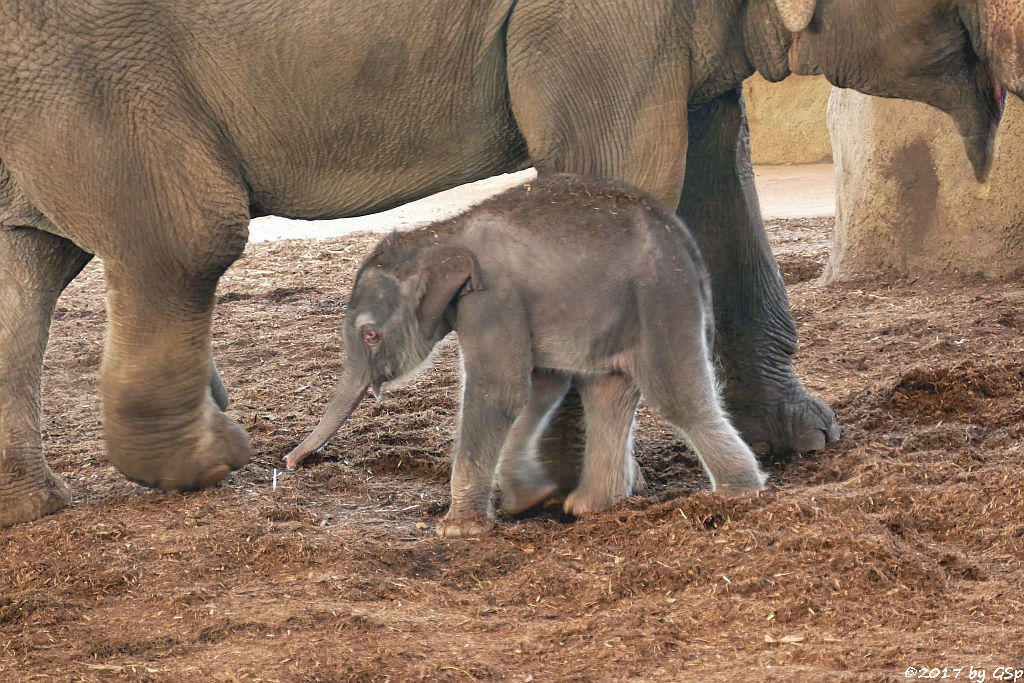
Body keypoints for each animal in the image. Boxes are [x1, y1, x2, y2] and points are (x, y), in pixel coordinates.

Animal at [284, 174, 765, 536]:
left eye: (369, 334)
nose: (289, 463)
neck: (441, 233)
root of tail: (683, 239)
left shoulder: (493, 300)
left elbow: (499, 392)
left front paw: (457, 530)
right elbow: (538, 386)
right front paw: (526, 500)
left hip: (663, 299)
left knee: (675, 397)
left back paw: (741, 495)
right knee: (607, 392)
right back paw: (589, 507)